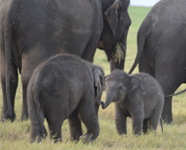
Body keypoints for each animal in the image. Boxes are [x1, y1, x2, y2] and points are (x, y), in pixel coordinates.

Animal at [0, 0, 131, 122]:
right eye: (128, 25)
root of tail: (11, 10)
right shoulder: (95, 30)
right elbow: (87, 58)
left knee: (8, 76)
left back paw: (7, 118)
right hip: (36, 36)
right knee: (27, 76)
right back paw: (26, 118)